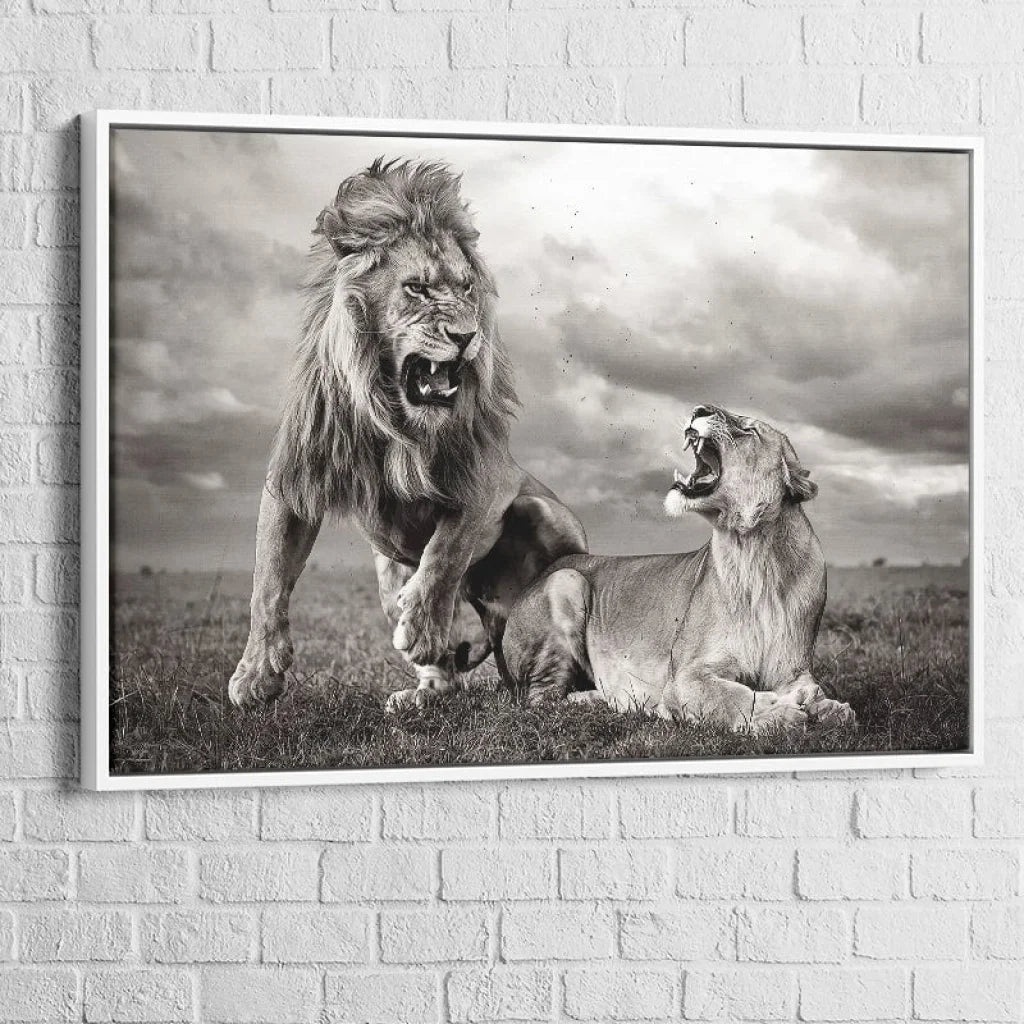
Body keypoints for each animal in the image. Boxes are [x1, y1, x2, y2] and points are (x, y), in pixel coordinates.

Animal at [228, 159, 586, 711]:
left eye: (466, 289)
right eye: (415, 289)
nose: (466, 336)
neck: (394, 418)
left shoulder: (484, 472)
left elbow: (447, 550)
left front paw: (420, 627)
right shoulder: (294, 477)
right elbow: (267, 579)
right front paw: (256, 673)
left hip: (540, 512)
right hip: (387, 569)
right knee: (448, 664)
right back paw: (425, 692)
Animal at [501, 403, 856, 736]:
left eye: (749, 430)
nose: (700, 409)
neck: (755, 554)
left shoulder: (793, 670)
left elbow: (817, 693)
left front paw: (830, 707)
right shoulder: (685, 676)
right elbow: (729, 696)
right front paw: (777, 712)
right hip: (567, 580)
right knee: (540, 699)